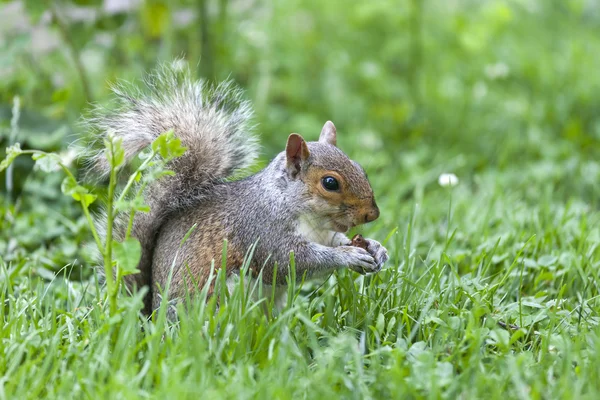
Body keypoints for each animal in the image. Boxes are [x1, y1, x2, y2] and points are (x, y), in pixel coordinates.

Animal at [88, 61, 390, 314]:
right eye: (330, 183)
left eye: (360, 168)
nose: (372, 214)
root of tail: (151, 317)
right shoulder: (261, 230)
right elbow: (292, 262)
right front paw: (347, 256)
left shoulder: (324, 234)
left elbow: (334, 242)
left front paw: (376, 248)